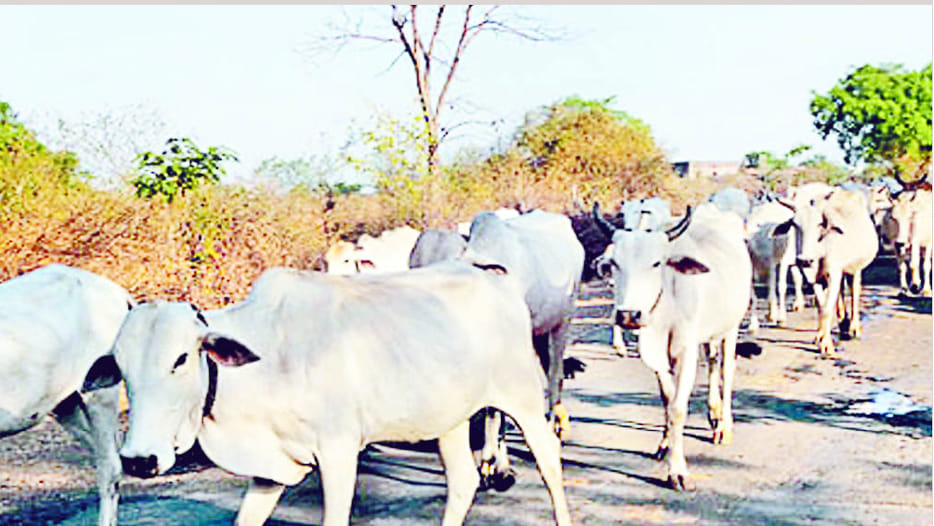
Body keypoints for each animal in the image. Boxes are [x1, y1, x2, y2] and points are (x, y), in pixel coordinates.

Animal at [86, 263, 572, 526]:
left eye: (181, 358)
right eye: (121, 366)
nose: (139, 460)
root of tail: (494, 276)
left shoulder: (338, 453)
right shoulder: (270, 470)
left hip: (523, 398)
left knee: (549, 463)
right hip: (448, 418)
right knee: (464, 481)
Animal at [593, 202, 753, 492]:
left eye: (656, 263)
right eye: (614, 263)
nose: (629, 315)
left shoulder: (685, 351)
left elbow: (678, 408)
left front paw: (677, 471)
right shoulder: (657, 357)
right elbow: (667, 400)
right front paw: (665, 443)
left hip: (731, 327)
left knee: (726, 371)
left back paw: (724, 426)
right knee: (713, 360)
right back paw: (713, 413)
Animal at [775, 188, 879, 356]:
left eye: (819, 224)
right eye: (795, 224)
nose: (804, 260)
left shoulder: (833, 274)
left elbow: (827, 309)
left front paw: (827, 345)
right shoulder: (815, 279)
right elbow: (821, 306)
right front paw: (821, 336)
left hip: (855, 268)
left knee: (854, 292)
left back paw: (853, 327)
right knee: (840, 293)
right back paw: (843, 322)